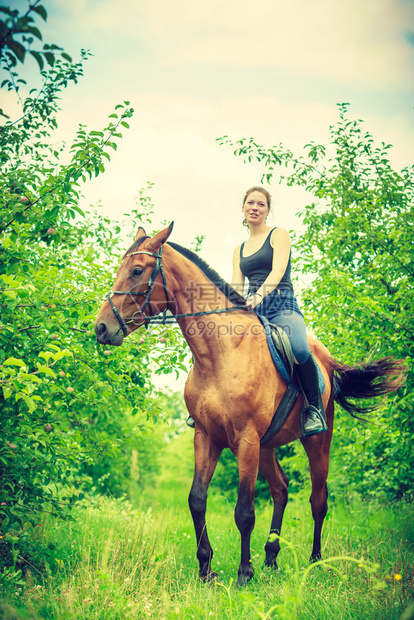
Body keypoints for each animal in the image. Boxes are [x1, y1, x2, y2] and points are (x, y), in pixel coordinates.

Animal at [94, 224, 404, 588]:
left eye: (137, 270)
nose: (101, 328)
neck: (219, 352)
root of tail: (325, 360)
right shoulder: (207, 437)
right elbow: (197, 500)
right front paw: (206, 569)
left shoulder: (246, 439)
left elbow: (244, 511)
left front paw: (244, 573)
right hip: (267, 447)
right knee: (281, 489)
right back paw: (271, 557)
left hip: (315, 441)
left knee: (318, 500)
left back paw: (314, 562)